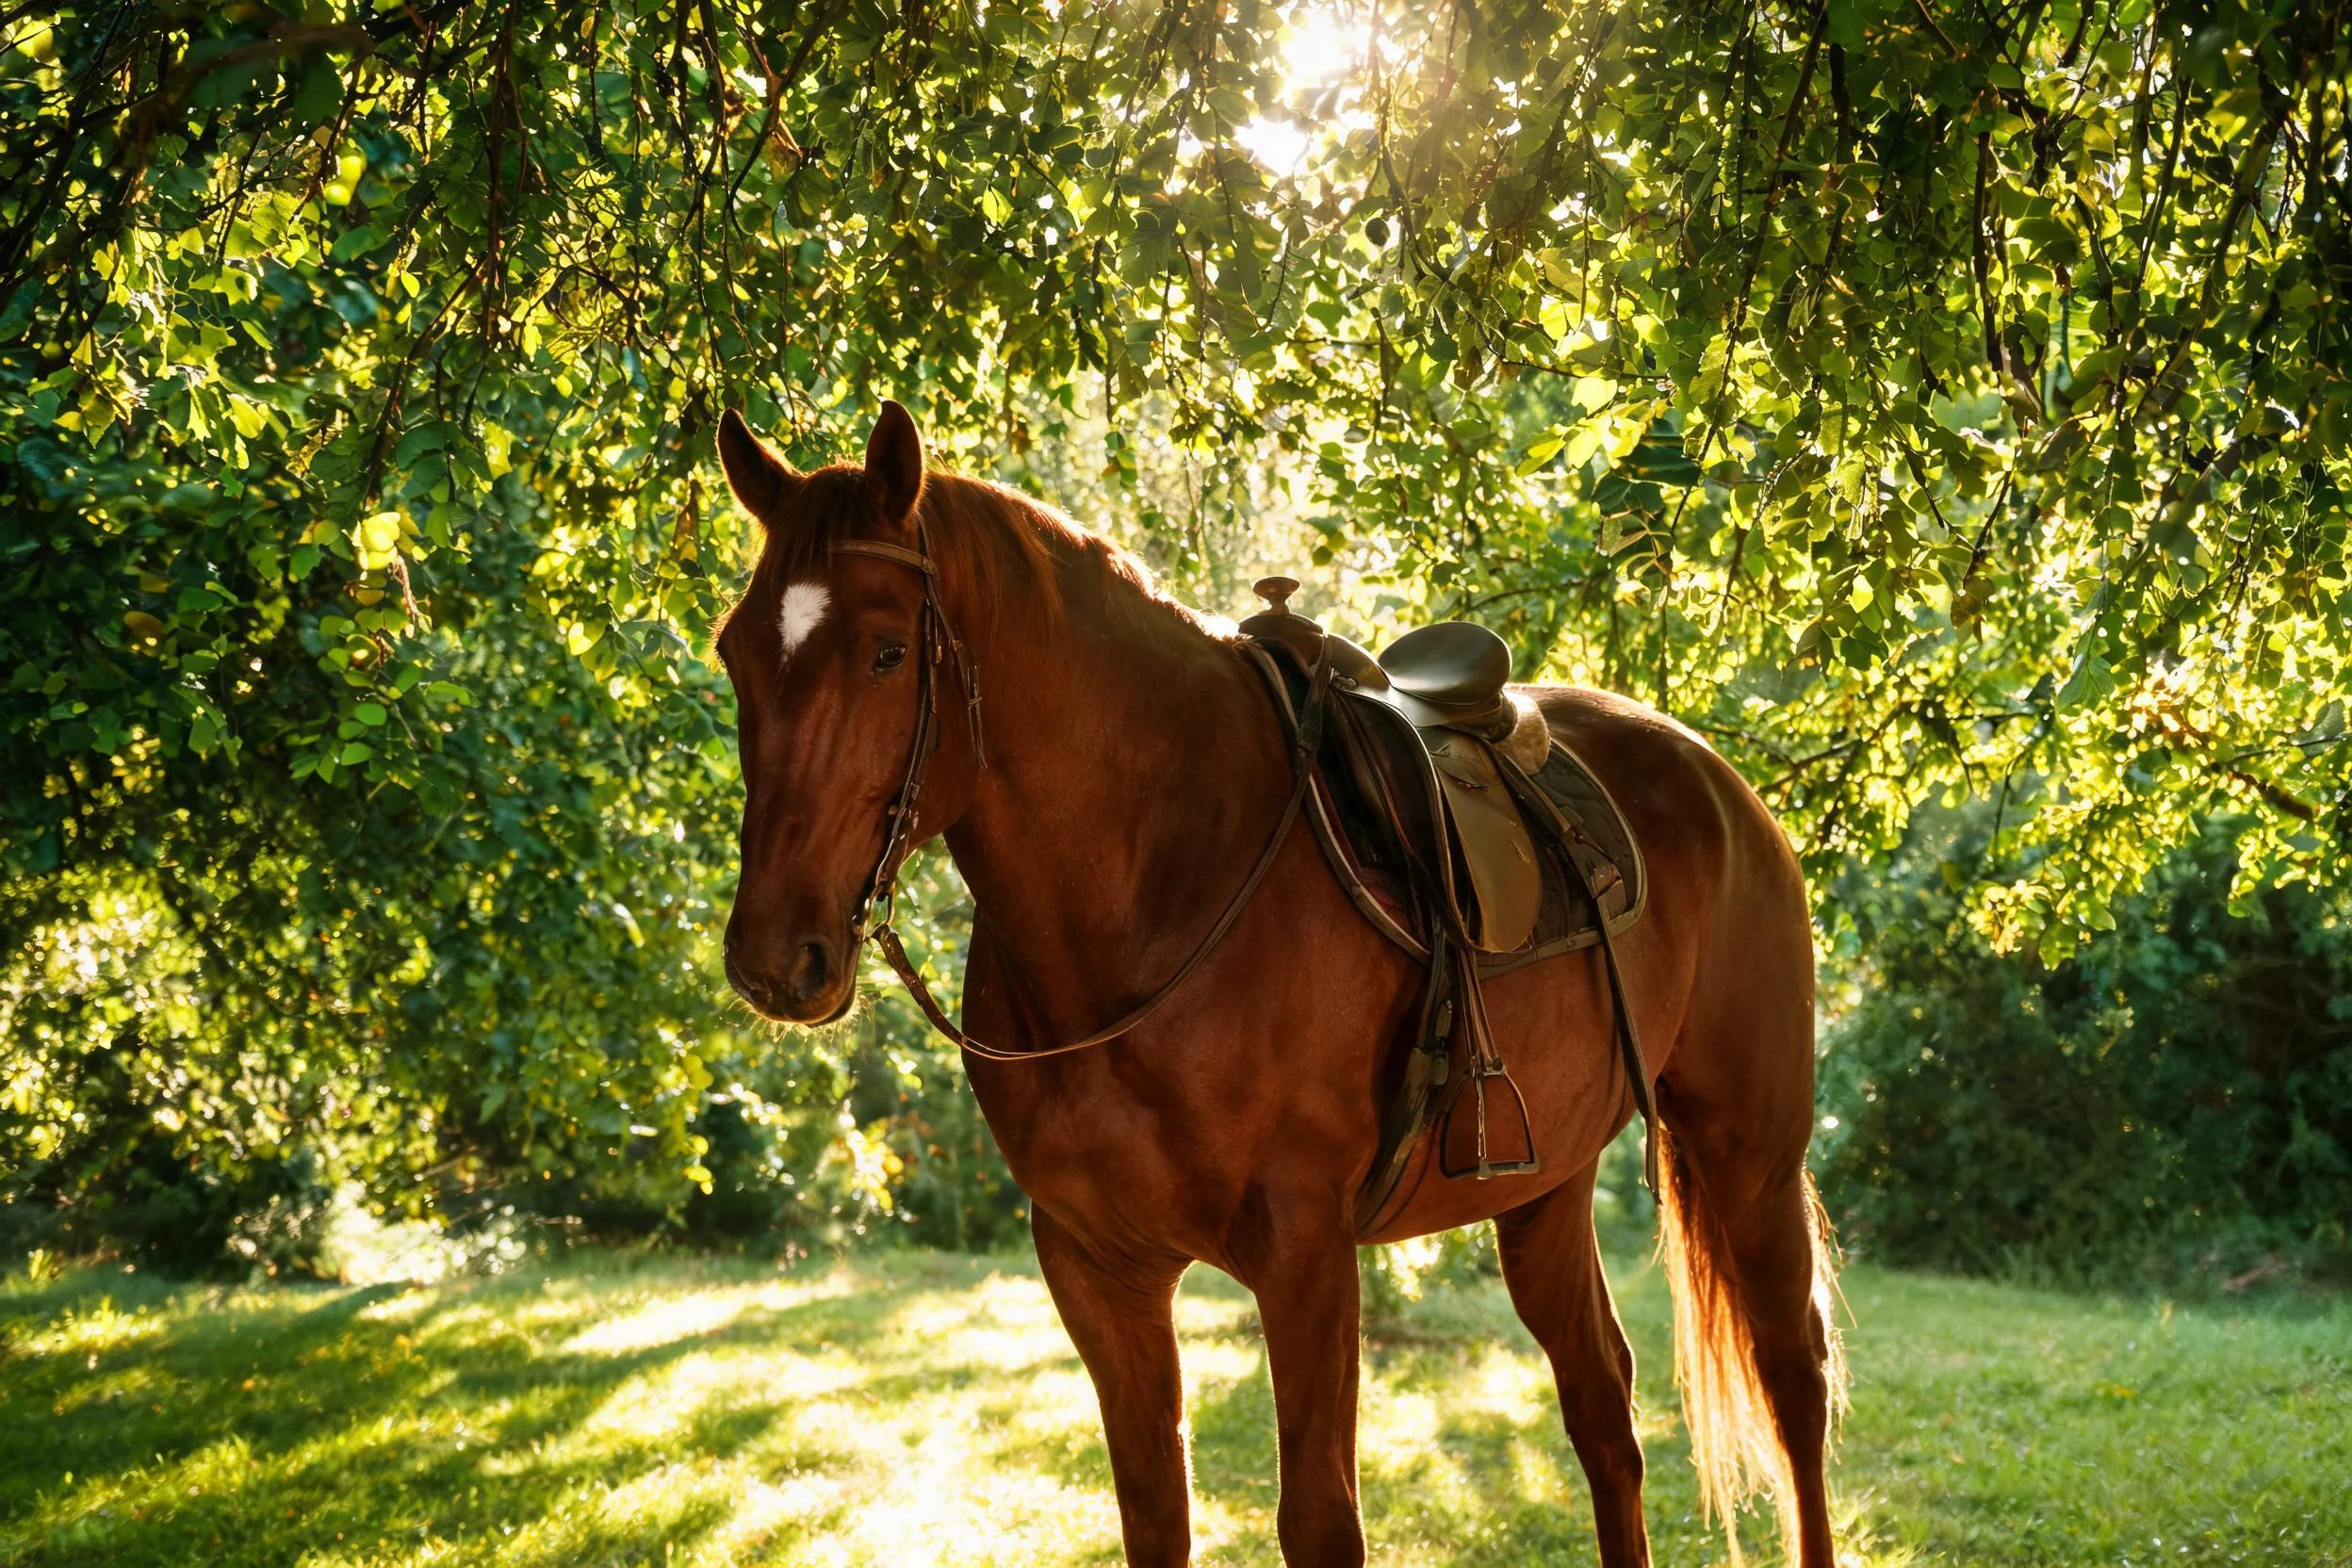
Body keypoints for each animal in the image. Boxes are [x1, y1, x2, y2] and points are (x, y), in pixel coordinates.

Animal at [710, 400, 1846, 1568]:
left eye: (888, 651)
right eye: (734, 651)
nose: (775, 956)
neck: (1159, 881)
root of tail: (1717, 780)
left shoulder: (1306, 1256)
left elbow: (1320, 1521)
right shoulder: (1097, 1268)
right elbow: (1155, 1516)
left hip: (1750, 1151)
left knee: (1793, 1376)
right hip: (1548, 1188)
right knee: (1603, 1407)